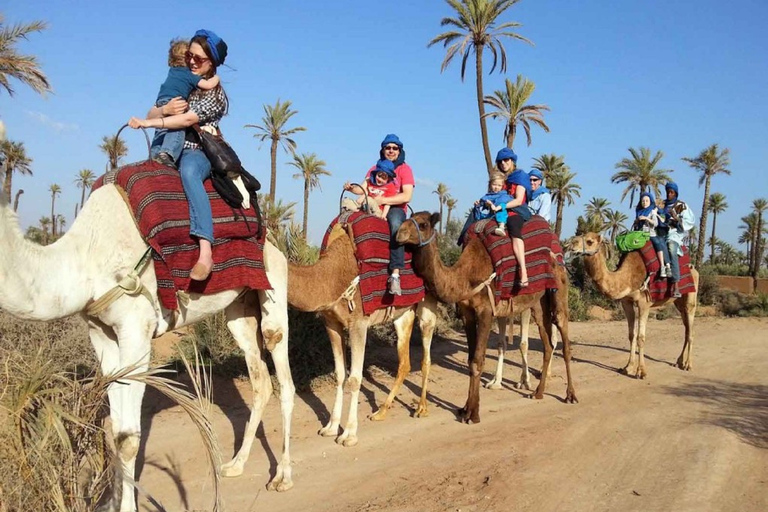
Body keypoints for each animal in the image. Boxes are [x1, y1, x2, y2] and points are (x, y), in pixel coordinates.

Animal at [0, 185, 296, 512]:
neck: (84, 259)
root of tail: (274, 244)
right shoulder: (101, 333)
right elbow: (116, 430)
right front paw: (111, 502)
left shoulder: (136, 329)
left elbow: (128, 438)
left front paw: (127, 506)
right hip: (238, 307)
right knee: (260, 380)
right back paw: (235, 464)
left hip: (274, 287)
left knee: (282, 371)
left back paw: (282, 477)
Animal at [286, 223, 436, 444]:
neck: (329, 277)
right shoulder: (331, 323)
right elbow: (340, 374)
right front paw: (330, 427)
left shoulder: (358, 323)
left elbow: (355, 378)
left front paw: (348, 434)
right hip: (404, 313)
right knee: (405, 362)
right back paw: (381, 412)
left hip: (427, 305)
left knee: (426, 355)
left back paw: (421, 408)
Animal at [396, 212, 576, 424]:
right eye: (409, 217)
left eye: (423, 224)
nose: (399, 233)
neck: (464, 277)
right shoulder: (467, 312)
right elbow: (470, 360)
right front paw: (465, 409)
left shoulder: (486, 311)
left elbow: (478, 361)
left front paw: (473, 414)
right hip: (538, 301)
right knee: (547, 343)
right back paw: (538, 393)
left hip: (559, 289)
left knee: (563, 335)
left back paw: (570, 395)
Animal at [568, 234, 700, 378]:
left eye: (590, 241)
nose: (571, 244)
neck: (627, 277)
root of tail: (694, 269)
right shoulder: (626, 302)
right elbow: (631, 335)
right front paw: (628, 367)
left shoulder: (644, 303)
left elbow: (640, 337)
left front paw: (641, 371)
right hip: (678, 303)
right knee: (687, 329)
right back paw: (679, 361)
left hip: (691, 297)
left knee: (691, 329)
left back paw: (688, 365)